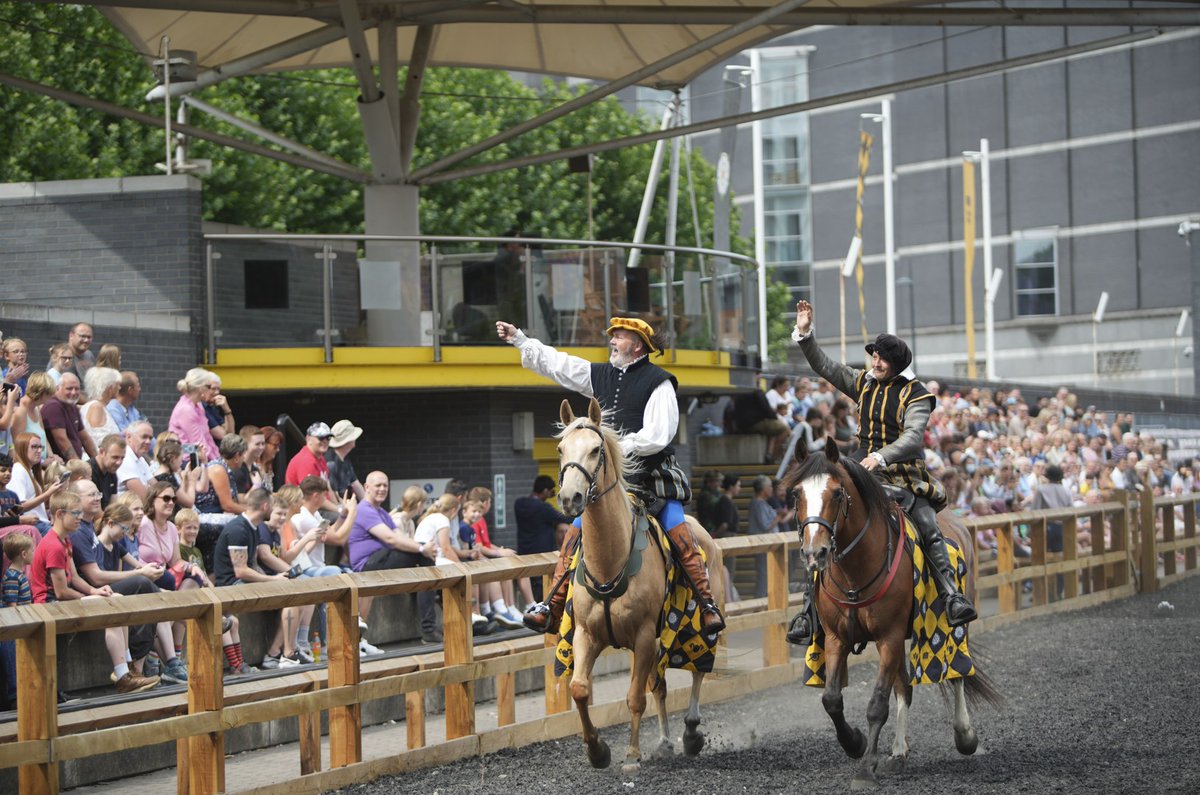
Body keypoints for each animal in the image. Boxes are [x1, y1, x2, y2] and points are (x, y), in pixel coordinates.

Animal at [554, 401, 720, 773]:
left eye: (595, 450)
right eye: (561, 450)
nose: (571, 498)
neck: (610, 560)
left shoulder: (643, 636)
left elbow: (634, 697)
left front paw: (631, 755)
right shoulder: (586, 634)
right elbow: (580, 689)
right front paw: (597, 750)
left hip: (697, 628)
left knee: (697, 673)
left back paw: (690, 732)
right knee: (659, 685)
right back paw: (664, 741)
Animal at [782, 441, 998, 792]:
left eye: (837, 494)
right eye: (796, 494)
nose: (815, 554)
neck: (856, 570)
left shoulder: (889, 638)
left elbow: (877, 704)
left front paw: (866, 769)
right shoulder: (837, 638)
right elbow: (832, 699)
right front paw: (854, 743)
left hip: (951, 625)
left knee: (957, 674)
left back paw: (965, 736)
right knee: (905, 688)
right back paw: (898, 752)